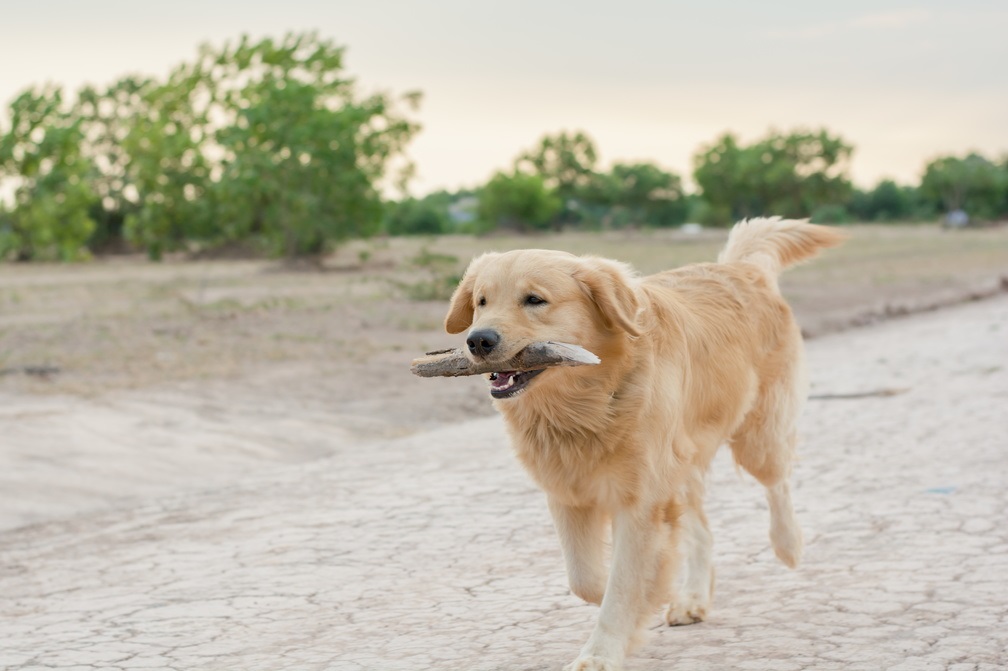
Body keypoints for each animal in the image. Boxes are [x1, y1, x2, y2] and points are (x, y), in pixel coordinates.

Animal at [445, 216, 846, 664]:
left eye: (534, 300)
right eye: (481, 301)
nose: (478, 340)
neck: (589, 401)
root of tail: (740, 269)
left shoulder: (641, 500)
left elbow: (623, 584)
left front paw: (600, 654)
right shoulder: (568, 492)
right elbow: (588, 579)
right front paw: (651, 597)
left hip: (756, 436)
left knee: (778, 482)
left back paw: (788, 544)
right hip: (682, 461)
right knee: (701, 527)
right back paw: (692, 597)